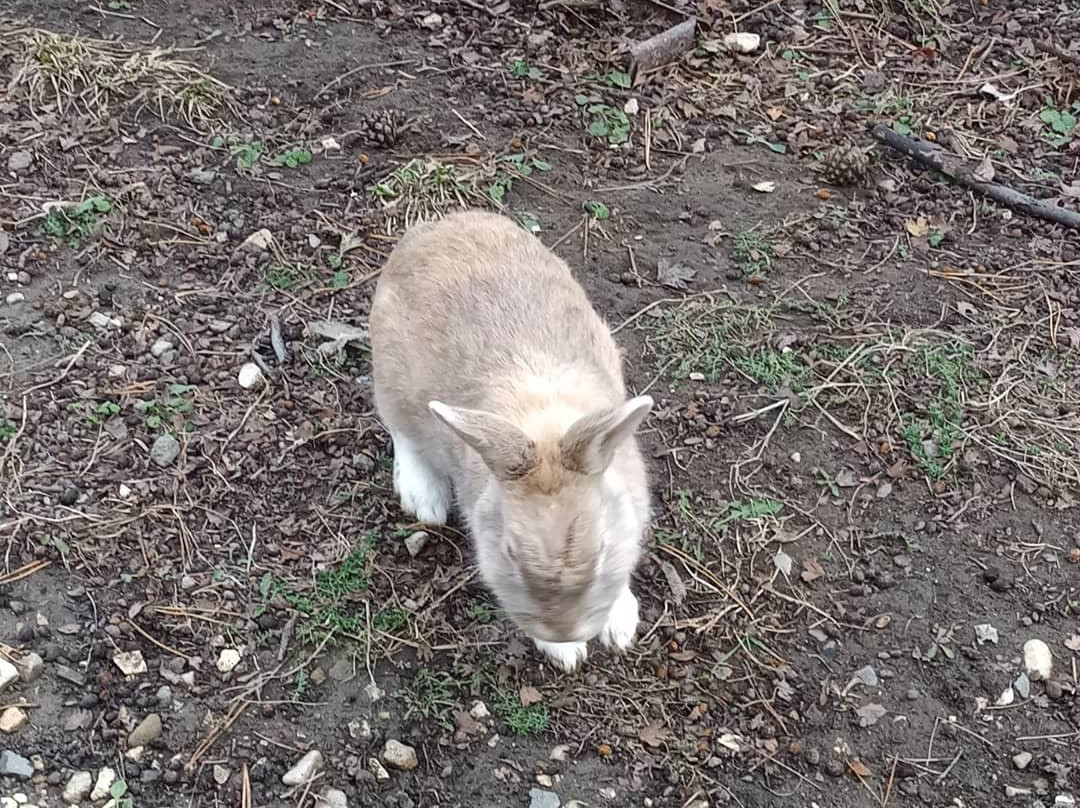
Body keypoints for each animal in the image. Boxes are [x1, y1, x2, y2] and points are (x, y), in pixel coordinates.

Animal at [367, 206, 652, 669]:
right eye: (511, 554)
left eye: (603, 548)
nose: (564, 629)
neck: (544, 423)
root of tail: (436, 227)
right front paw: (566, 653)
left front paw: (620, 627)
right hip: (392, 380)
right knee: (402, 431)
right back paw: (424, 497)